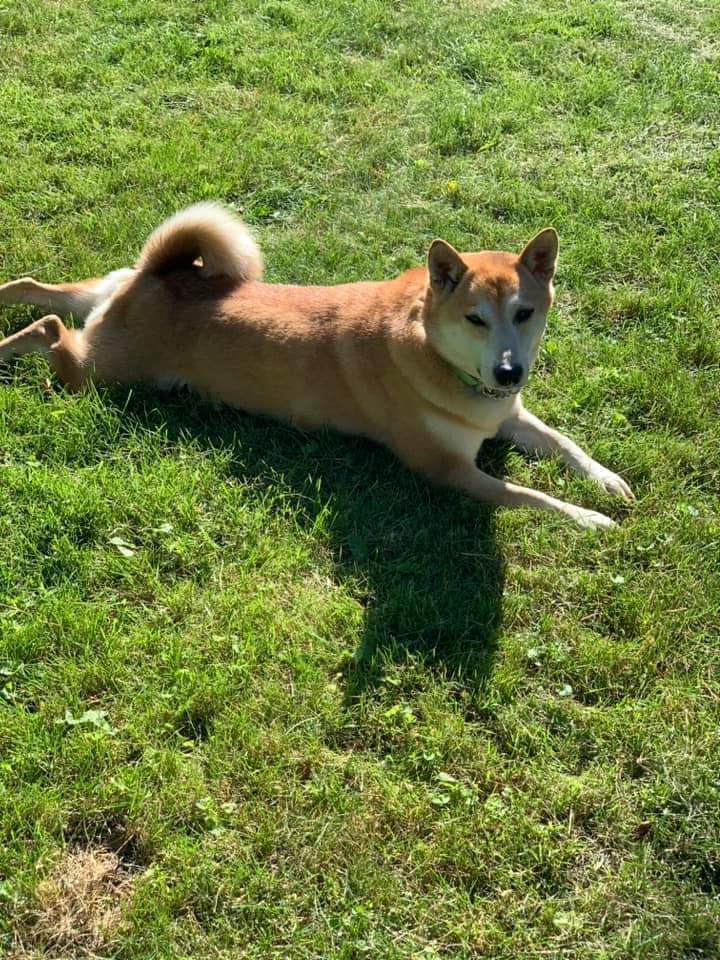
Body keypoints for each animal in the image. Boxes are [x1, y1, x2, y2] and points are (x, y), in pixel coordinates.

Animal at [0, 205, 632, 528]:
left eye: (524, 313)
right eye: (475, 319)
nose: (508, 373)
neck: (436, 354)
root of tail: (159, 274)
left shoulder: (510, 416)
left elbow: (567, 443)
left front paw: (607, 481)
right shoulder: (448, 470)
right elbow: (530, 496)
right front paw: (586, 517)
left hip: (100, 304)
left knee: (38, 291)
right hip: (103, 373)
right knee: (49, 329)